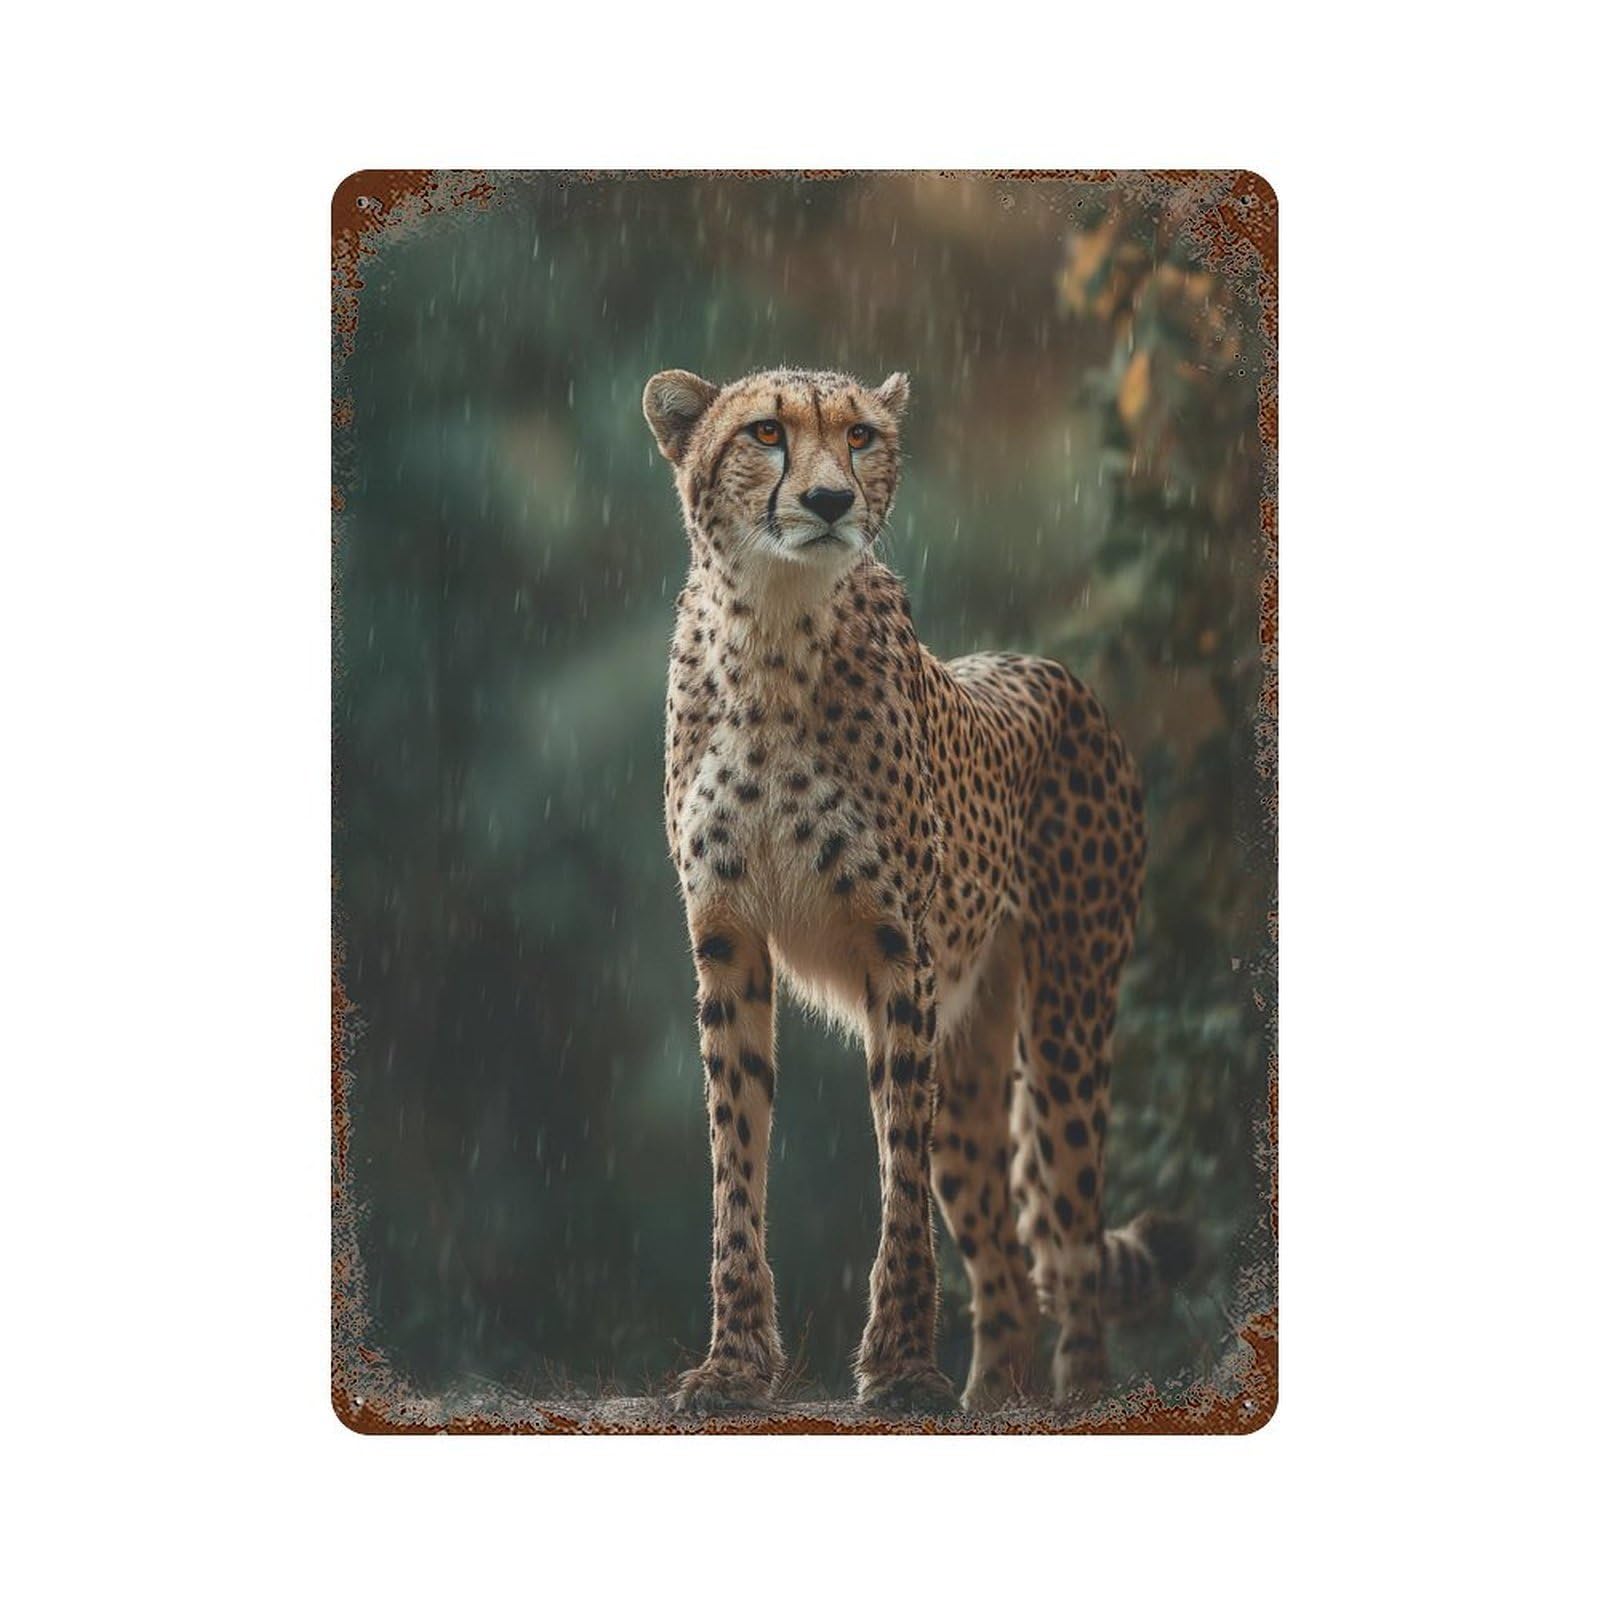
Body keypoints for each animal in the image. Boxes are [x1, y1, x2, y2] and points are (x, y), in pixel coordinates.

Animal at [643, 364, 1196, 1415]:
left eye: (860, 436)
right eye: (766, 432)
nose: (829, 501)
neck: (773, 629)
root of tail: (1048, 667)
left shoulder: (897, 950)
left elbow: (897, 1166)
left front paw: (899, 1365)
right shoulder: (727, 938)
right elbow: (736, 1162)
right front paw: (734, 1365)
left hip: (1066, 1021)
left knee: (1066, 1247)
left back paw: (1077, 1399)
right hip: (974, 1049)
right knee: (1008, 1264)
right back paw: (993, 1399)